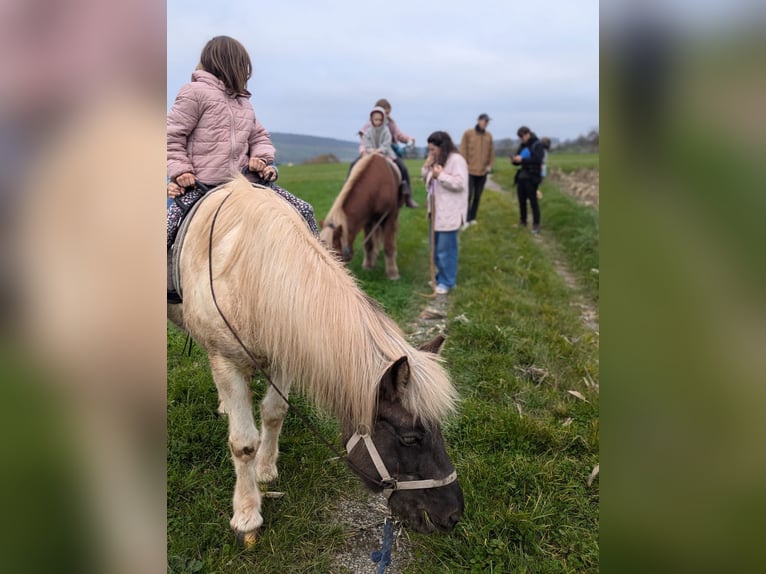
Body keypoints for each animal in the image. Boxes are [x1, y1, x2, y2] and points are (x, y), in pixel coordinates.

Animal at [169, 178, 464, 548]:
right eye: (411, 438)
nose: (452, 515)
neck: (250, 273)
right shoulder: (226, 361)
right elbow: (243, 444)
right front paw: (247, 515)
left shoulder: (284, 354)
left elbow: (275, 412)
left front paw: (266, 469)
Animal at [318, 152, 402, 280]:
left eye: (336, 255)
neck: (377, 184)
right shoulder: (367, 219)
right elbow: (368, 244)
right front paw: (368, 265)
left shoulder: (389, 217)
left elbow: (388, 245)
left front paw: (392, 273)